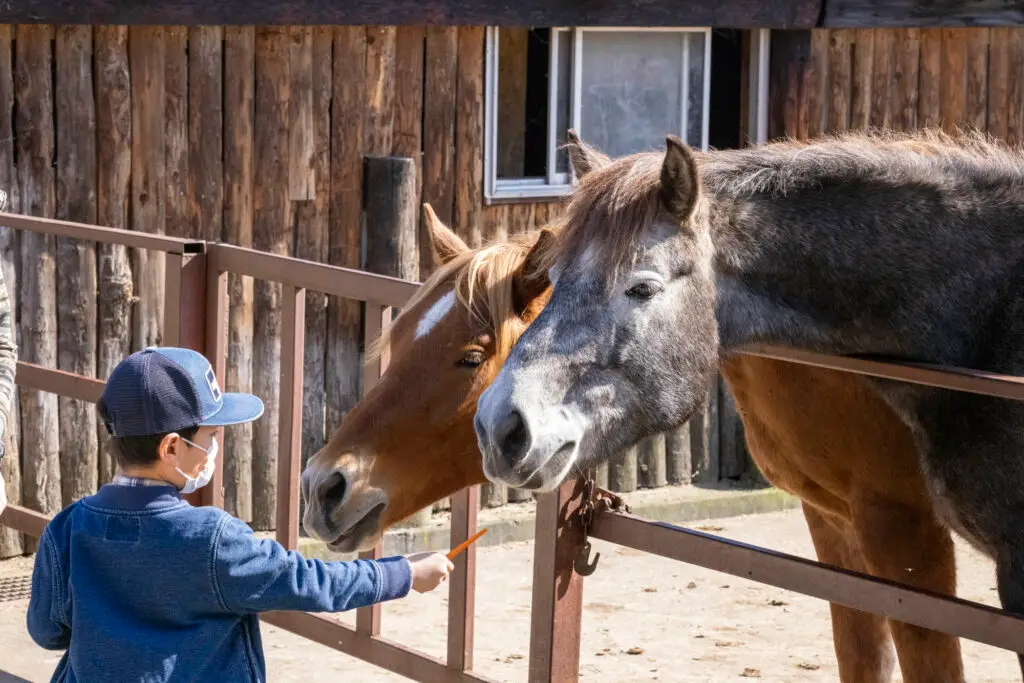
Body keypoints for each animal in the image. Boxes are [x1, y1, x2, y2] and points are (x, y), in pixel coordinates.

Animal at [475, 127, 1024, 679]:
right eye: (554, 278)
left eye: (642, 287)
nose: (500, 426)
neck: (985, 317)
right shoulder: (837, 524)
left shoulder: (908, 536)